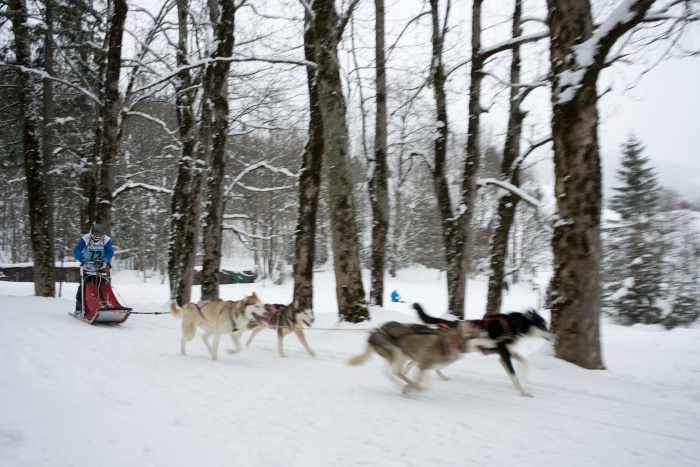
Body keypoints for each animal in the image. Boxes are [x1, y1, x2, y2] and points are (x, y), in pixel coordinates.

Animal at [348, 318, 484, 394]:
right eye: (483, 336)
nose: (494, 341)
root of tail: (375, 332)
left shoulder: (424, 364)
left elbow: (430, 376)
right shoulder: (422, 364)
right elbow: (423, 378)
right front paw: (415, 387)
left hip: (399, 356)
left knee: (390, 372)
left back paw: (405, 385)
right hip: (397, 353)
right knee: (394, 372)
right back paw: (407, 386)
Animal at [412, 304, 556, 398]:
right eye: (542, 326)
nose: (553, 336)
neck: (511, 325)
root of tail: (452, 322)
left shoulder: (506, 353)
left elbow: (525, 362)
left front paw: (524, 376)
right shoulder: (504, 355)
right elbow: (514, 377)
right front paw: (524, 392)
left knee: (428, 364)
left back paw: (440, 376)